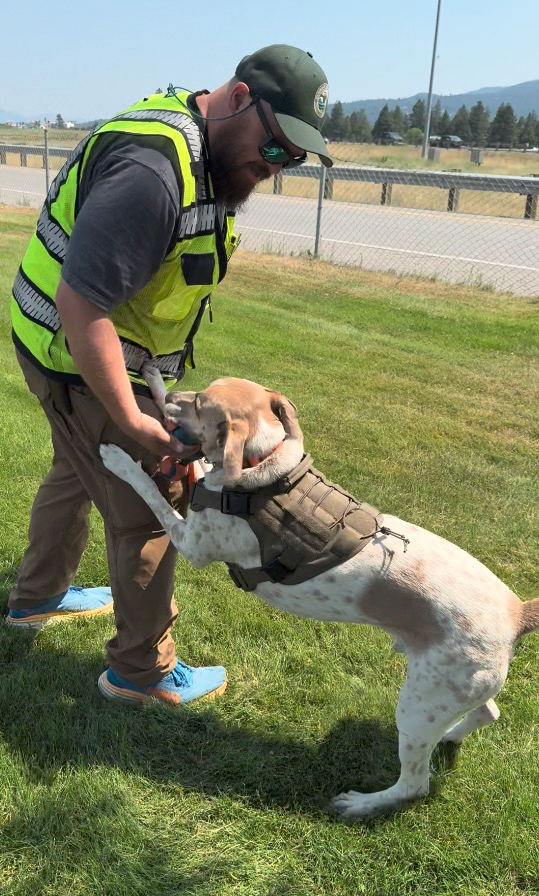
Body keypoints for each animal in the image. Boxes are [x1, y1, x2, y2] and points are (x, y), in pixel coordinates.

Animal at [99, 374, 536, 816]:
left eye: (201, 404)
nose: (173, 394)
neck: (263, 467)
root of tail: (517, 613)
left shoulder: (193, 543)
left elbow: (152, 492)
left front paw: (119, 459)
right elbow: (202, 465)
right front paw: (154, 384)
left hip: (419, 705)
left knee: (415, 784)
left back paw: (360, 804)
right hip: (453, 691)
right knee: (489, 711)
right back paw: (451, 735)